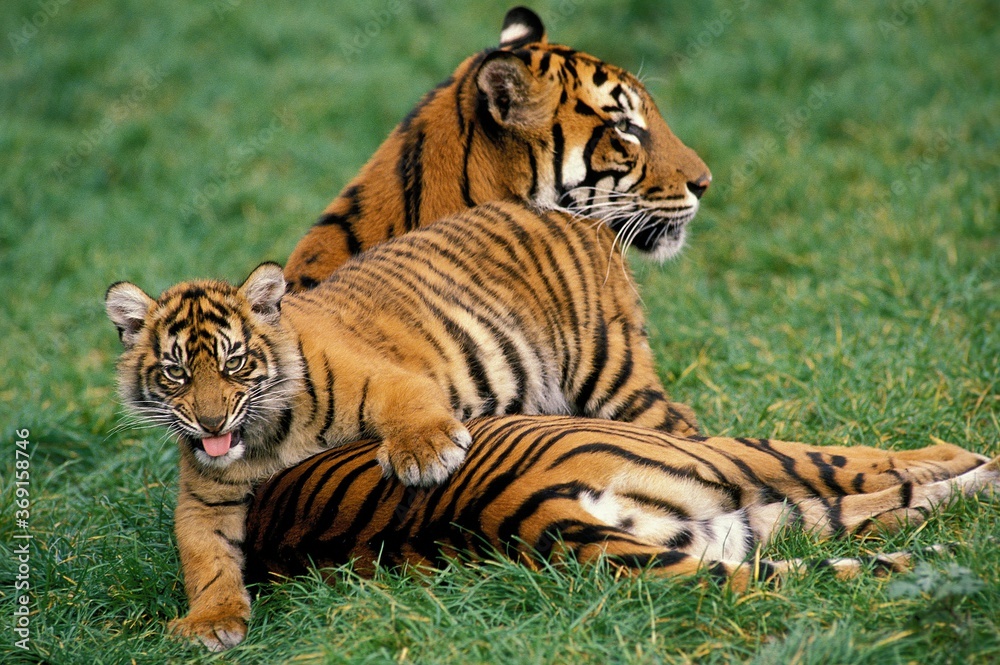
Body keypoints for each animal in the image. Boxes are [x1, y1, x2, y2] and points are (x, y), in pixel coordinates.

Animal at [105, 199, 699, 651]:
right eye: (177, 372)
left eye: (234, 363)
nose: (210, 422)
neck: (264, 440)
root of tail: (566, 212)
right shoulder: (205, 500)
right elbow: (205, 559)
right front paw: (211, 622)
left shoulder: (386, 379)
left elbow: (408, 408)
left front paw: (425, 455)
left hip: (607, 370)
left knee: (676, 423)